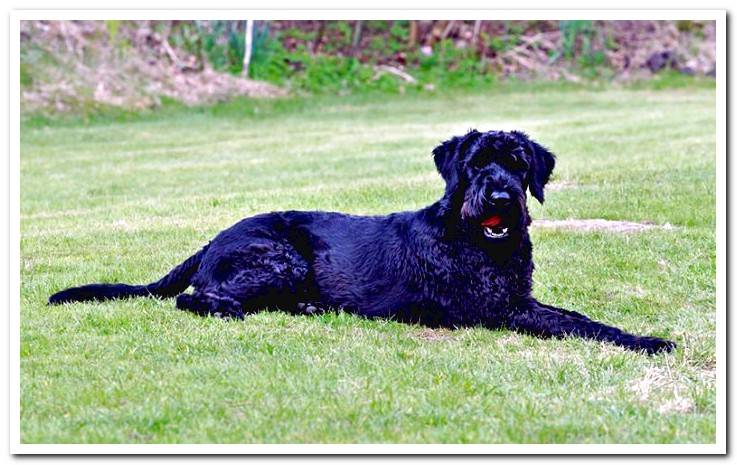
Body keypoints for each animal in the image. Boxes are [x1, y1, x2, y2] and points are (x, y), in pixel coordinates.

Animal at [49, 129, 676, 354]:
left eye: (518, 164)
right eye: (476, 163)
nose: (500, 196)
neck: (476, 240)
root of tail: (212, 240)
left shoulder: (516, 299)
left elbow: (576, 314)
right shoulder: (496, 310)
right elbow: (577, 324)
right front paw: (648, 341)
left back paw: (307, 307)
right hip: (276, 259)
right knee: (193, 297)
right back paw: (229, 310)